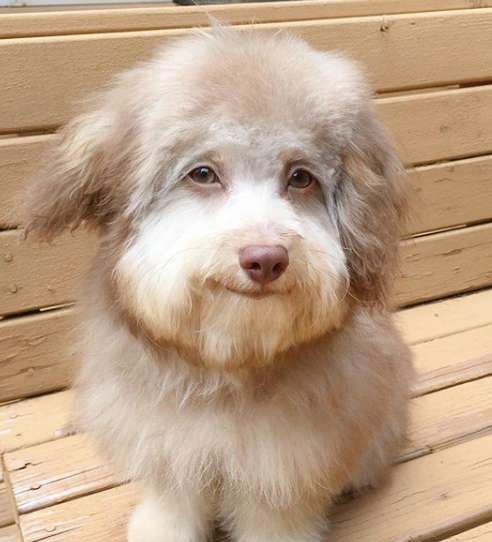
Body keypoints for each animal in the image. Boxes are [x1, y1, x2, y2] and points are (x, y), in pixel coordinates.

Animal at [25, 28, 414, 542]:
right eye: (203, 173)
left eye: (300, 177)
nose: (266, 258)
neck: (229, 359)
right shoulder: (167, 439)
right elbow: (173, 498)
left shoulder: (284, 462)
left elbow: (274, 516)